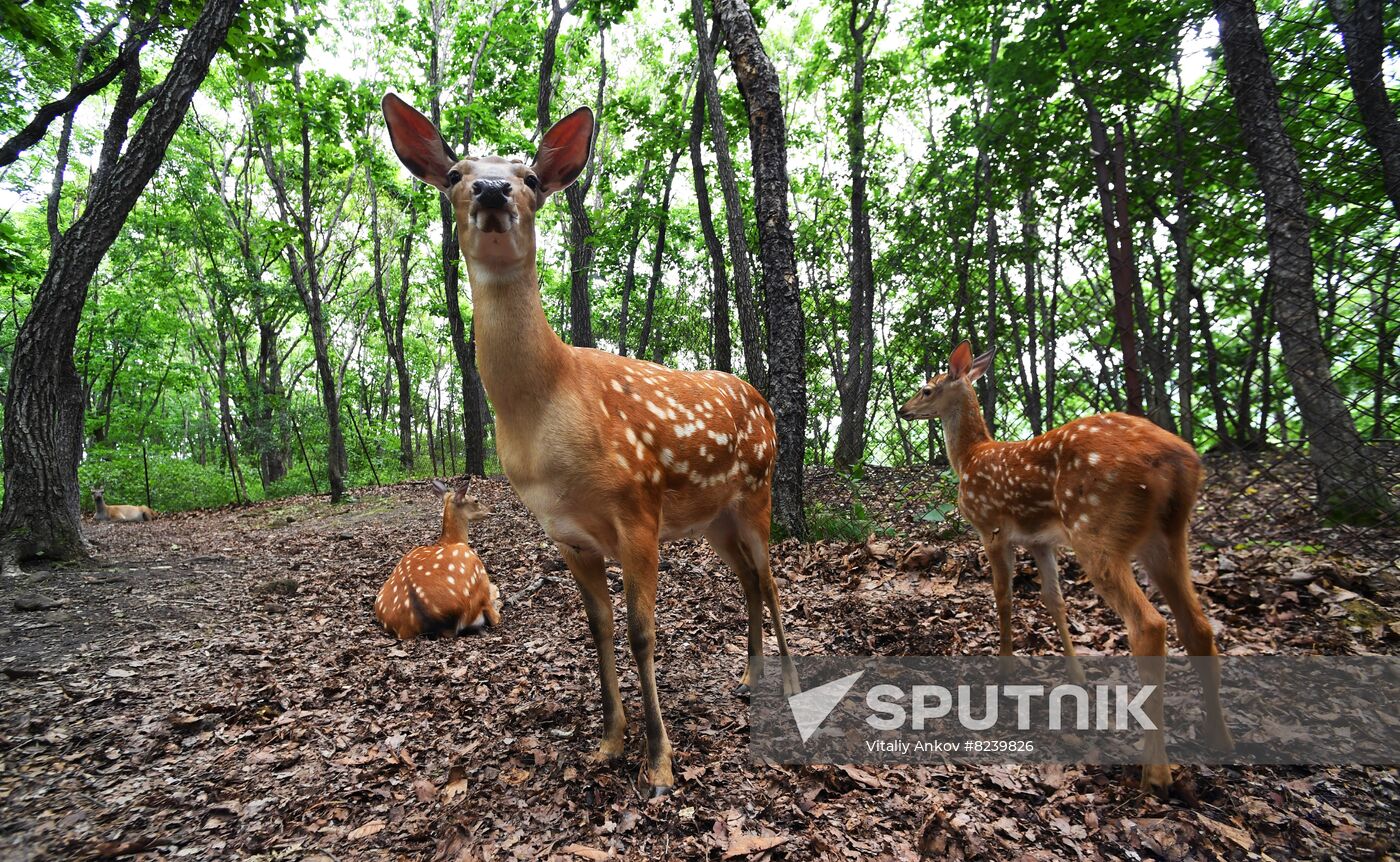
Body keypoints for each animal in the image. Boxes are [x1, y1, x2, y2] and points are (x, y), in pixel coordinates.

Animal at [901, 341, 1232, 794]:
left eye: (927, 388)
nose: (903, 409)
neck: (969, 458)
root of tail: (1179, 460)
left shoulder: (992, 528)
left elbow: (1003, 596)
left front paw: (1004, 668)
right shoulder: (1040, 540)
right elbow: (1053, 600)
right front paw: (1077, 675)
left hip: (1095, 530)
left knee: (1149, 625)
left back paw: (1156, 772)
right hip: (1167, 535)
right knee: (1196, 625)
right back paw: (1220, 739)